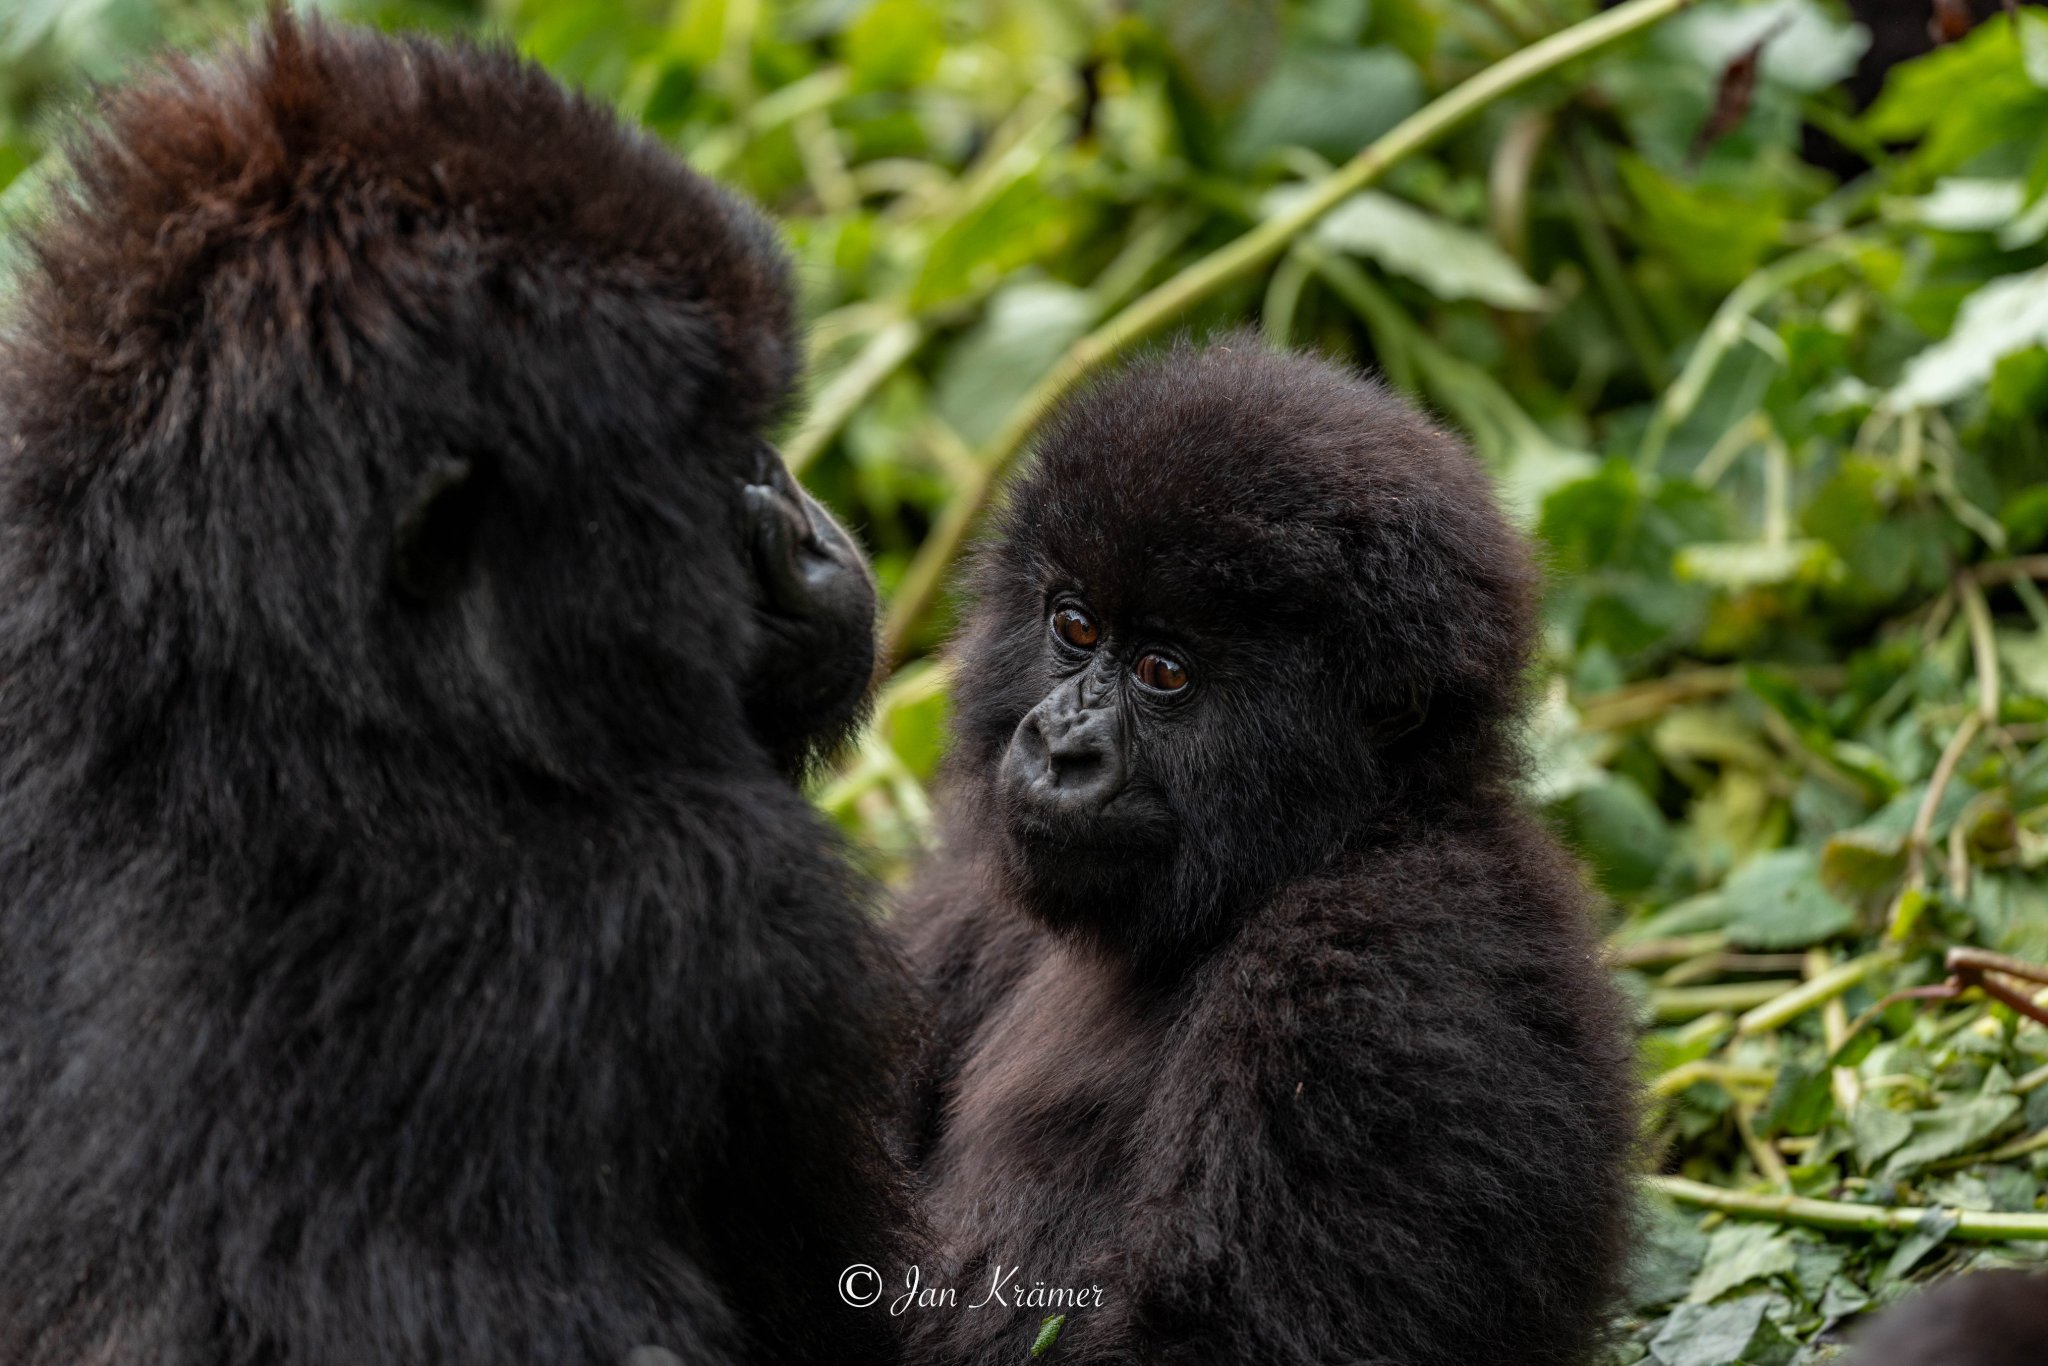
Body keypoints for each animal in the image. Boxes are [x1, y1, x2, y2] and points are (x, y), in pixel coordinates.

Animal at [890, 340, 1639, 1366]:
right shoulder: (979, 862)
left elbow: (1216, 1333)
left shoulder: (1370, 968)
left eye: (1164, 672)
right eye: (1074, 627)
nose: (1057, 747)